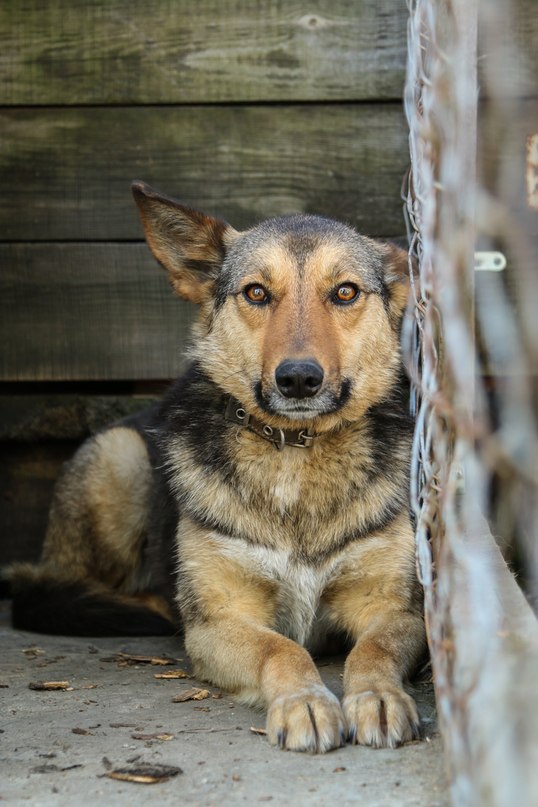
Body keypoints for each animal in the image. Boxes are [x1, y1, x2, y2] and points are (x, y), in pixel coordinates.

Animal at [7, 181, 422, 752]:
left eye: (345, 292)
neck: (294, 449)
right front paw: (305, 702)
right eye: (256, 293)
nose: (298, 379)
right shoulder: (220, 621)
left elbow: (374, 650)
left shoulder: (395, 608)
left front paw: (379, 695)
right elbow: (281, 648)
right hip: (120, 456)